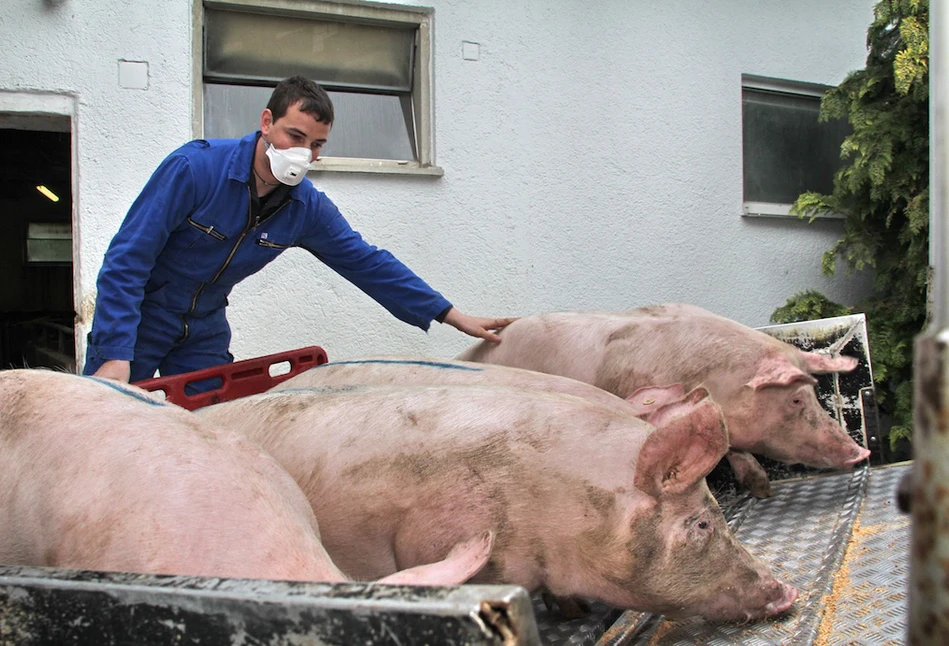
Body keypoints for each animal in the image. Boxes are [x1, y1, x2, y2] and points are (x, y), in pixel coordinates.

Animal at [456, 306, 872, 498]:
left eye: (815, 395)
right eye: (797, 399)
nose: (861, 453)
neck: (719, 380)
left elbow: (734, 446)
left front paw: (762, 489)